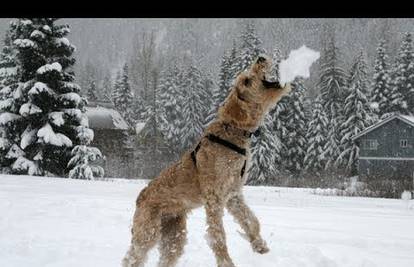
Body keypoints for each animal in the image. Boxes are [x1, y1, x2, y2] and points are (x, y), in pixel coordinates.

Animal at [122, 55, 292, 267]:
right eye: (246, 81)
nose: (260, 58)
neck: (232, 131)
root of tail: (140, 197)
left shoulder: (234, 195)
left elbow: (250, 220)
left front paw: (259, 245)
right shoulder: (214, 198)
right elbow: (217, 235)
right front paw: (226, 262)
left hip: (174, 235)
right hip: (147, 232)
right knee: (131, 257)